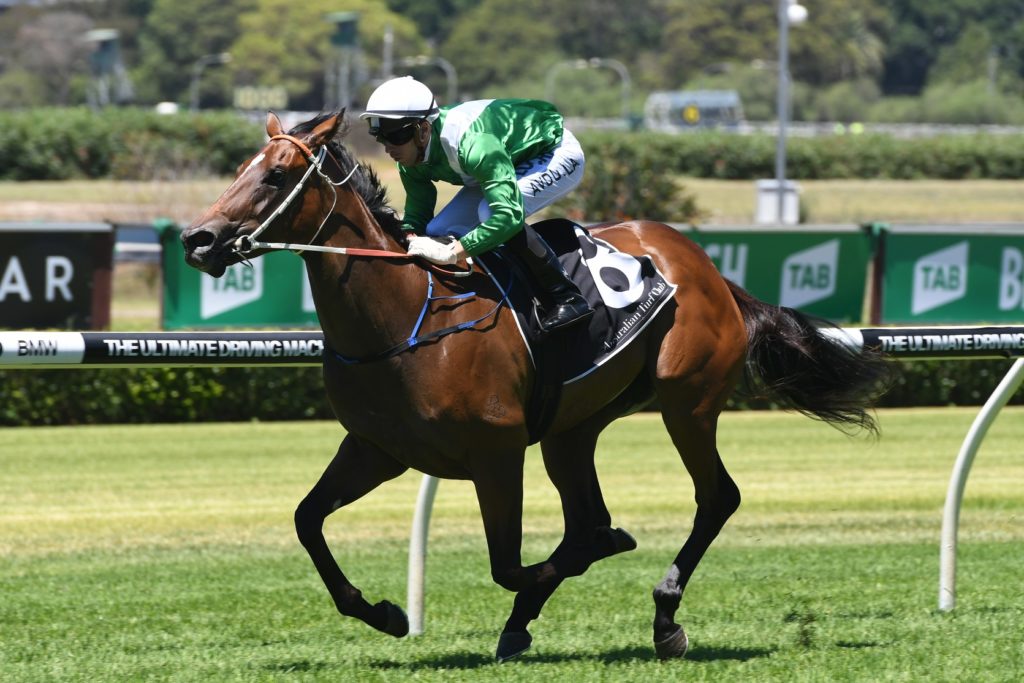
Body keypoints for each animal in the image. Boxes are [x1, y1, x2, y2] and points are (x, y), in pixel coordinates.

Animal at [181, 110, 891, 661]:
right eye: (240, 169)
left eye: (275, 175)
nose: (197, 238)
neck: (404, 318)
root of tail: (708, 270)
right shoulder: (377, 448)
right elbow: (307, 520)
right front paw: (385, 612)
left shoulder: (496, 452)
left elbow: (511, 563)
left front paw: (603, 553)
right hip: (573, 429)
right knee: (588, 515)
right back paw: (533, 621)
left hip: (687, 402)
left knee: (714, 497)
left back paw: (663, 616)